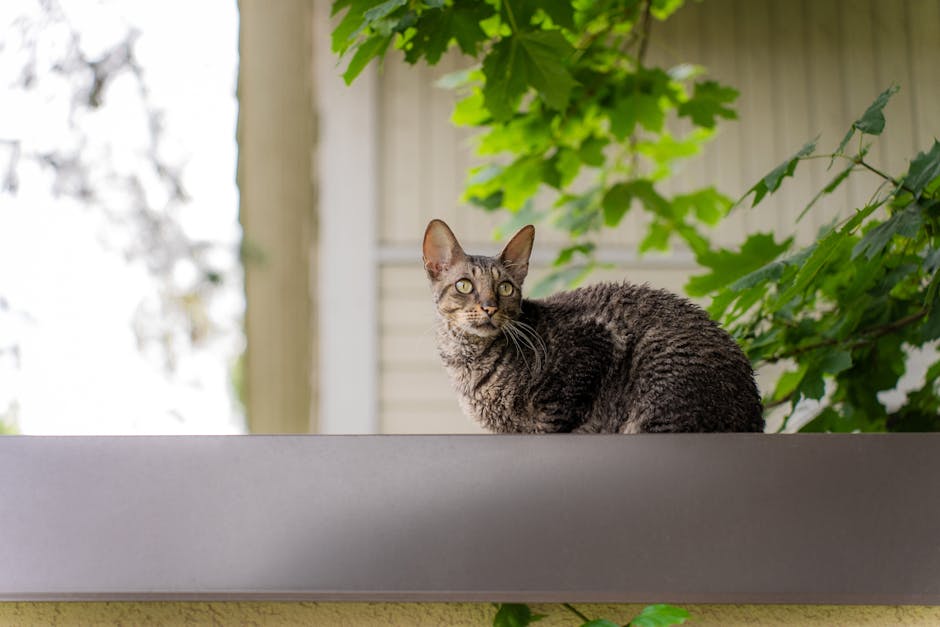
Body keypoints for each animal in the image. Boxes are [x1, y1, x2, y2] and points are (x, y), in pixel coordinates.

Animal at [418, 218, 764, 434]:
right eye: (464, 285)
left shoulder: (592, 345)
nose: (490, 307)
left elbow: (551, 424)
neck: (468, 361)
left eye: (505, 288)